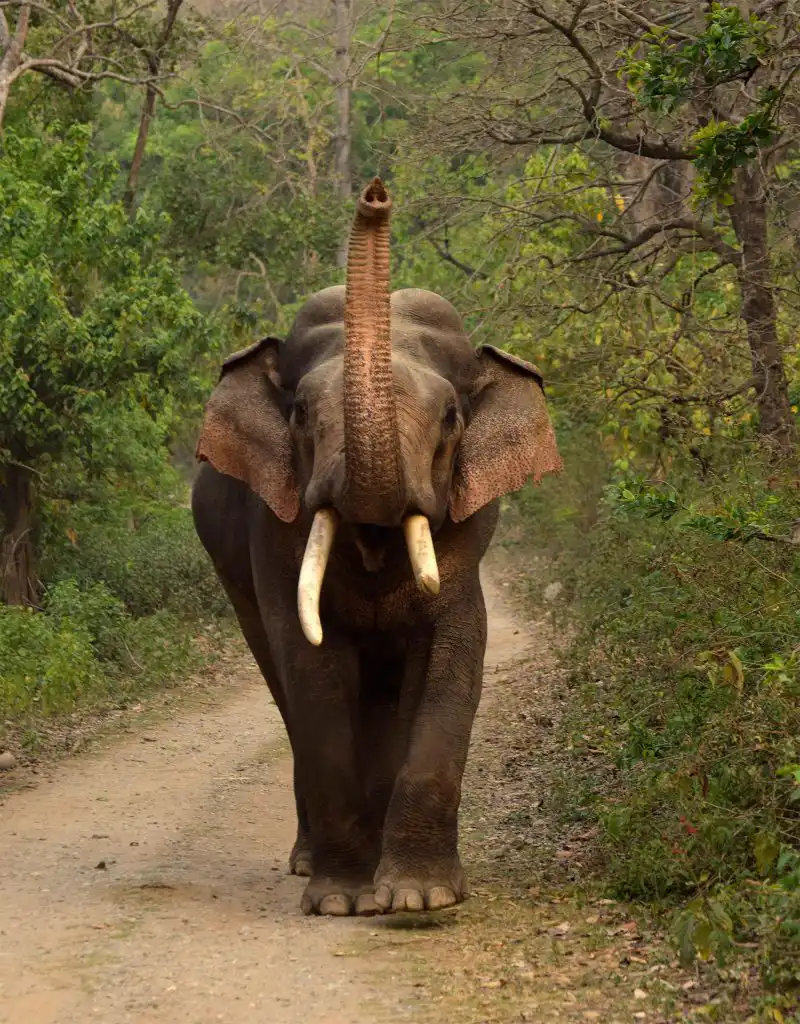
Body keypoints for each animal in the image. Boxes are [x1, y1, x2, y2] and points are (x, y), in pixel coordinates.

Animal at [191, 178, 561, 917]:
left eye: (450, 419)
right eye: (301, 414)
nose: (376, 193)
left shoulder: (469, 523)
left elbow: (454, 644)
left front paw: (420, 899)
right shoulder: (273, 523)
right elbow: (310, 665)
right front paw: (341, 902)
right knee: (282, 685)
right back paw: (310, 862)